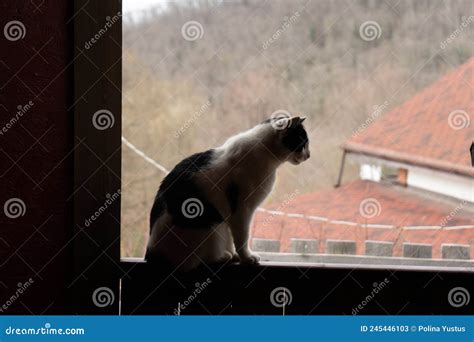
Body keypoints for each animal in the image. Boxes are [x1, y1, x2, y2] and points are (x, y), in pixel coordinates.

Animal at [146, 116, 310, 272]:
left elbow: (232, 238)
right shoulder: (242, 211)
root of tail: (150, 255)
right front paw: (246, 258)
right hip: (211, 227)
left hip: (220, 225)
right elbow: (242, 237)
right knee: (197, 261)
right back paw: (223, 257)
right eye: (303, 143)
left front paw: (237, 255)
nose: (308, 155)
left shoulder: (232, 216)